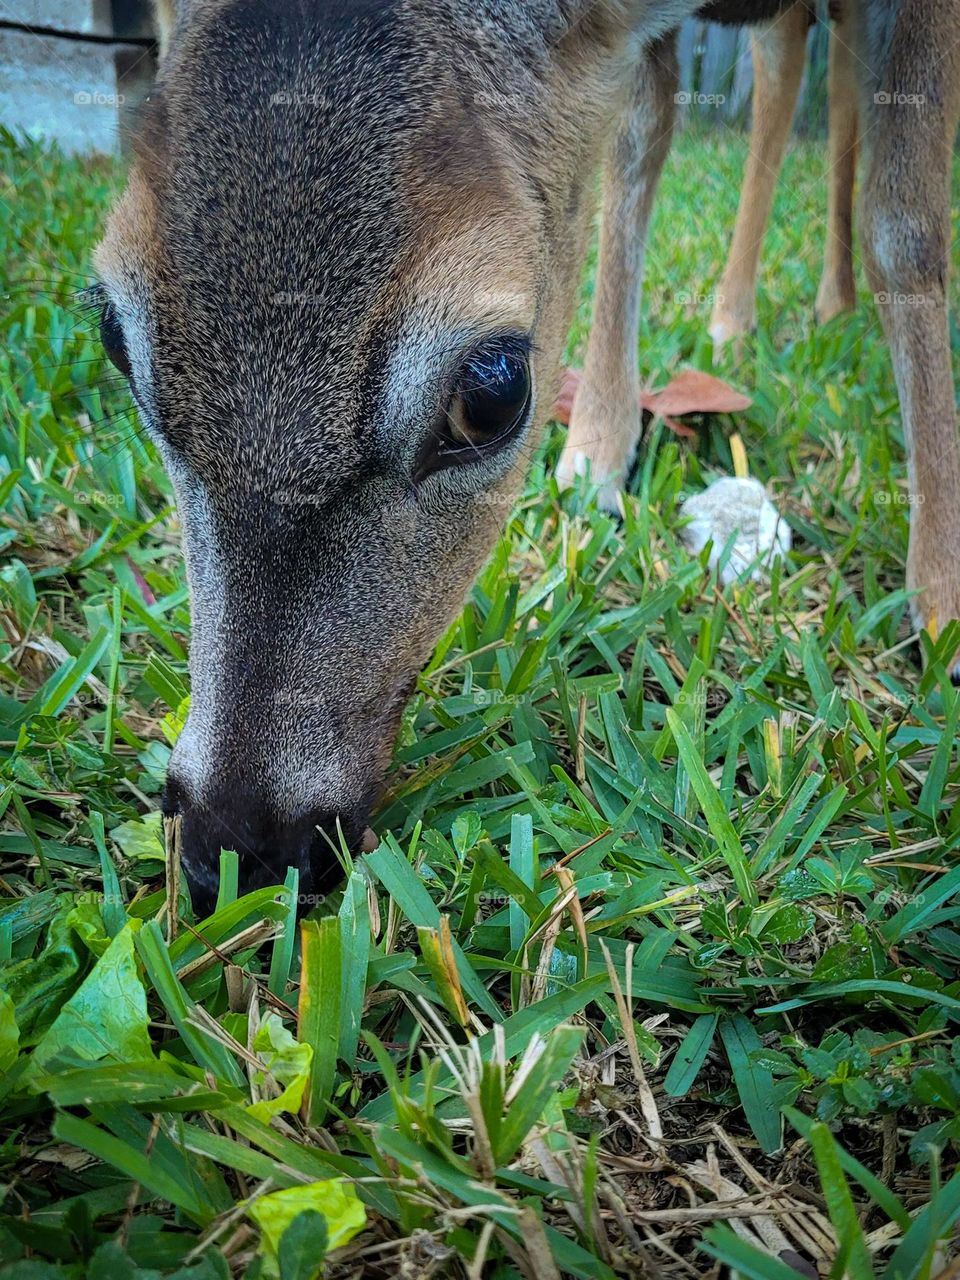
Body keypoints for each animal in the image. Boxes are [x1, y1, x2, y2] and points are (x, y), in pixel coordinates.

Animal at [93, 0, 960, 914]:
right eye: (113, 333)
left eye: (493, 392)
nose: (235, 846)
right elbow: (637, 145)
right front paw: (598, 455)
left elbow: (908, 227)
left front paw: (941, 606)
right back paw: (756, 314)